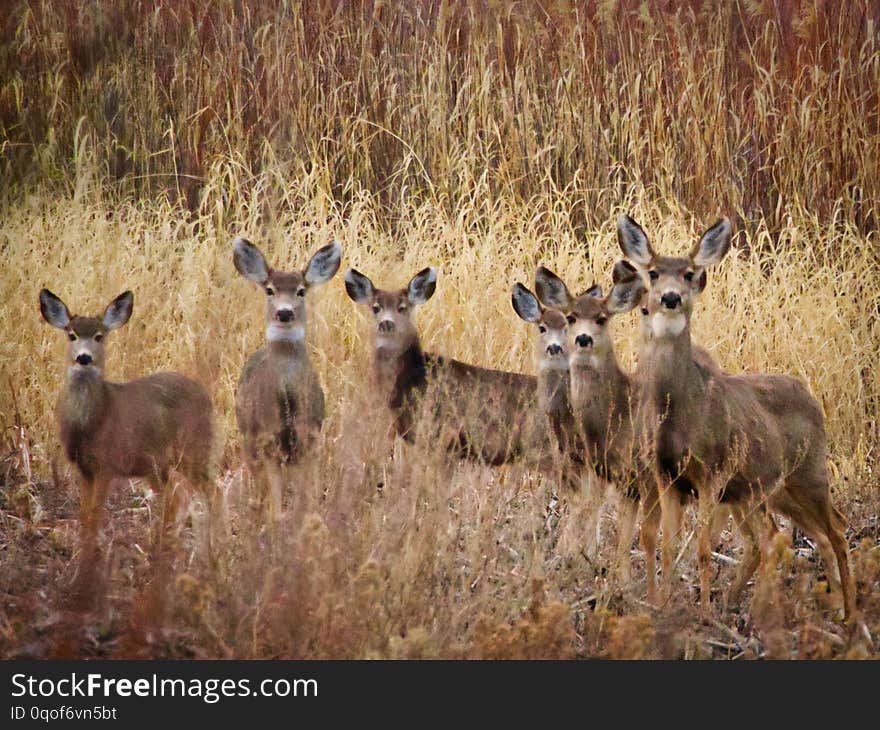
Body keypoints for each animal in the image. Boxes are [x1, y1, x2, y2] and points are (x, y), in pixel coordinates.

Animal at [40, 288, 220, 604]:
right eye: (71, 335)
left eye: (99, 336)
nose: (84, 358)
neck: (92, 421)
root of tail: (205, 394)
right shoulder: (84, 468)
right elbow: (84, 518)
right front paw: (77, 578)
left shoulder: (107, 464)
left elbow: (95, 517)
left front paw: (85, 582)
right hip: (159, 466)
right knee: (180, 499)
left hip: (194, 449)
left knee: (211, 492)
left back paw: (206, 562)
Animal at [232, 235, 342, 516]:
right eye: (270, 290)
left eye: (301, 291)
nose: (284, 312)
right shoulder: (268, 439)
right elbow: (276, 504)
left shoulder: (310, 438)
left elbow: (307, 498)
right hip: (248, 437)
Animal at [620, 213, 852, 616]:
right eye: (653, 272)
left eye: (689, 273)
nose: (670, 297)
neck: (680, 416)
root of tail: (810, 396)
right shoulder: (667, 476)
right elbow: (664, 543)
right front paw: (664, 605)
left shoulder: (713, 471)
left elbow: (702, 549)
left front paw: (702, 610)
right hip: (764, 491)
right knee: (794, 535)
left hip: (809, 472)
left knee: (834, 530)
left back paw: (850, 613)